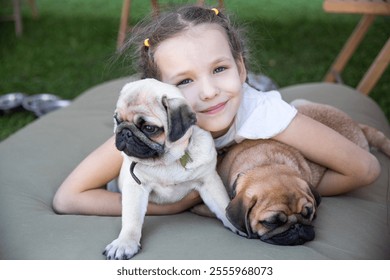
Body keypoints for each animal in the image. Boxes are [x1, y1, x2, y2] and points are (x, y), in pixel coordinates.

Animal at [103, 79, 241, 260]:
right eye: (117, 120)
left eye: (149, 128)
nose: (125, 132)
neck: (166, 161)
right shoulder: (135, 187)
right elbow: (132, 219)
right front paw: (125, 243)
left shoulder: (208, 181)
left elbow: (222, 204)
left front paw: (236, 224)